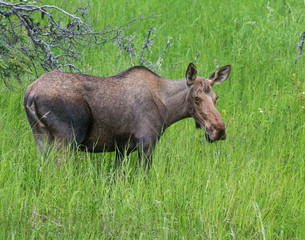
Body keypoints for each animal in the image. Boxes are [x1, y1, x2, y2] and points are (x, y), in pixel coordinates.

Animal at [23, 62, 229, 170]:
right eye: (196, 98)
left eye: (216, 97)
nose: (218, 130)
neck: (168, 110)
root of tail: (30, 94)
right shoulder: (147, 142)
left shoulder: (122, 149)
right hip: (67, 137)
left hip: (41, 137)